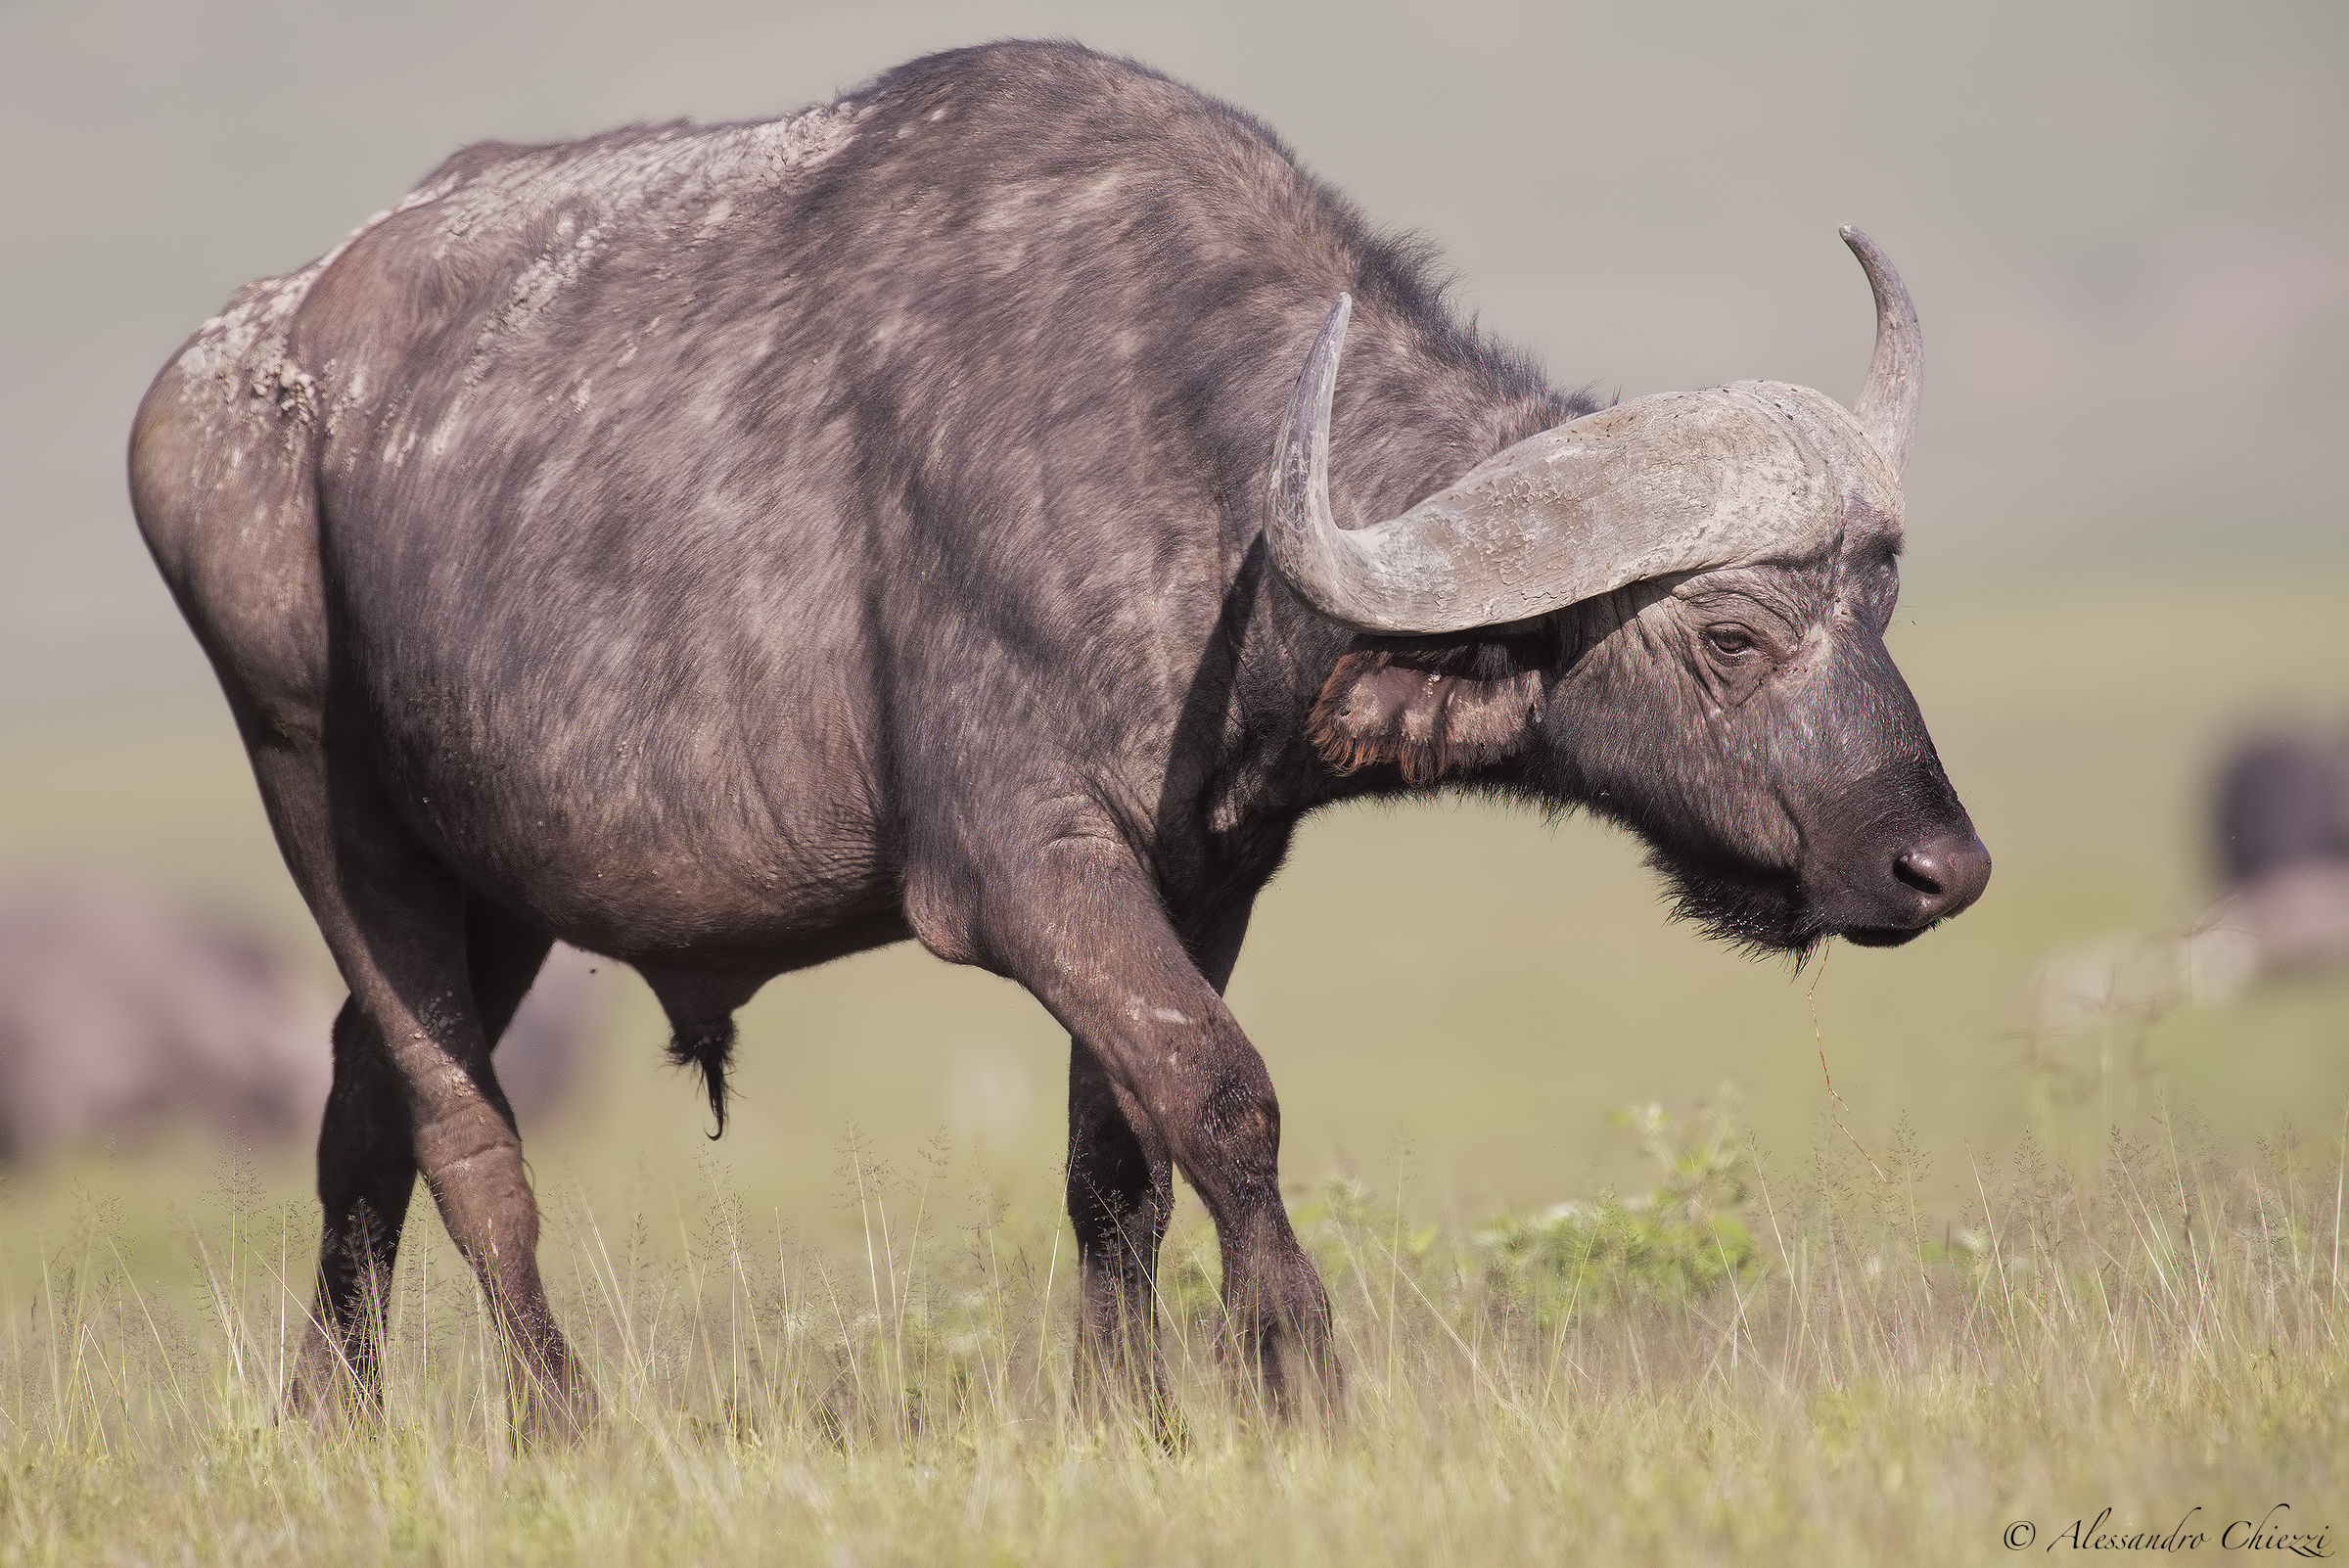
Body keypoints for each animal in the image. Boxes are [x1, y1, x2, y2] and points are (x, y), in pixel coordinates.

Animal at [129, 41, 1988, 1435]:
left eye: (1883, 604)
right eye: (1731, 633)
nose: (1941, 864)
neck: (1200, 463)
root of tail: (217, 376)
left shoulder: (1205, 869)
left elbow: (1122, 1160)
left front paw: (1134, 1407)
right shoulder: (1024, 873)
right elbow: (1225, 1096)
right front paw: (1292, 1366)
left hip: (495, 879)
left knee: (358, 1111)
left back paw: (332, 1414)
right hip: (324, 802)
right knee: (462, 1131)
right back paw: (557, 1417)